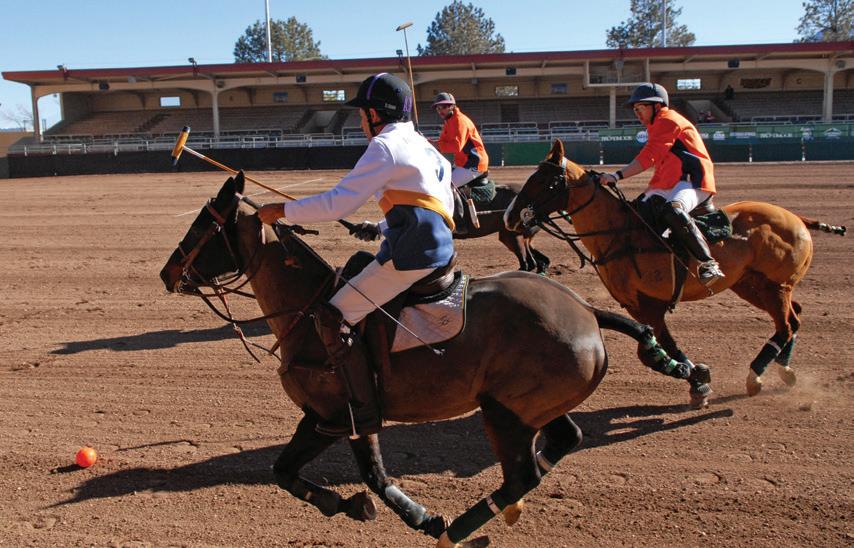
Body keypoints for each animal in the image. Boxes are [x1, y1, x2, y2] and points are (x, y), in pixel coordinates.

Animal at [159, 172, 709, 547]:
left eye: (203, 226)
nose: (167, 273)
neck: (307, 309)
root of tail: (589, 312)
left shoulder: (335, 414)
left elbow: (331, 473)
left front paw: (389, 511)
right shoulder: (339, 417)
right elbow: (325, 473)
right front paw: (367, 507)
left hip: (503, 413)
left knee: (521, 475)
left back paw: (463, 528)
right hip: (532, 405)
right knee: (565, 438)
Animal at [504, 139, 847, 397]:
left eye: (545, 181)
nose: (509, 217)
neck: (619, 233)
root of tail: (797, 218)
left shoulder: (649, 304)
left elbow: (653, 349)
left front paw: (697, 379)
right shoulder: (637, 305)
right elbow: (657, 347)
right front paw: (697, 375)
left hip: (774, 286)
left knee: (786, 325)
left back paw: (755, 375)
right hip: (751, 284)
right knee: (794, 319)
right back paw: (784, 371)